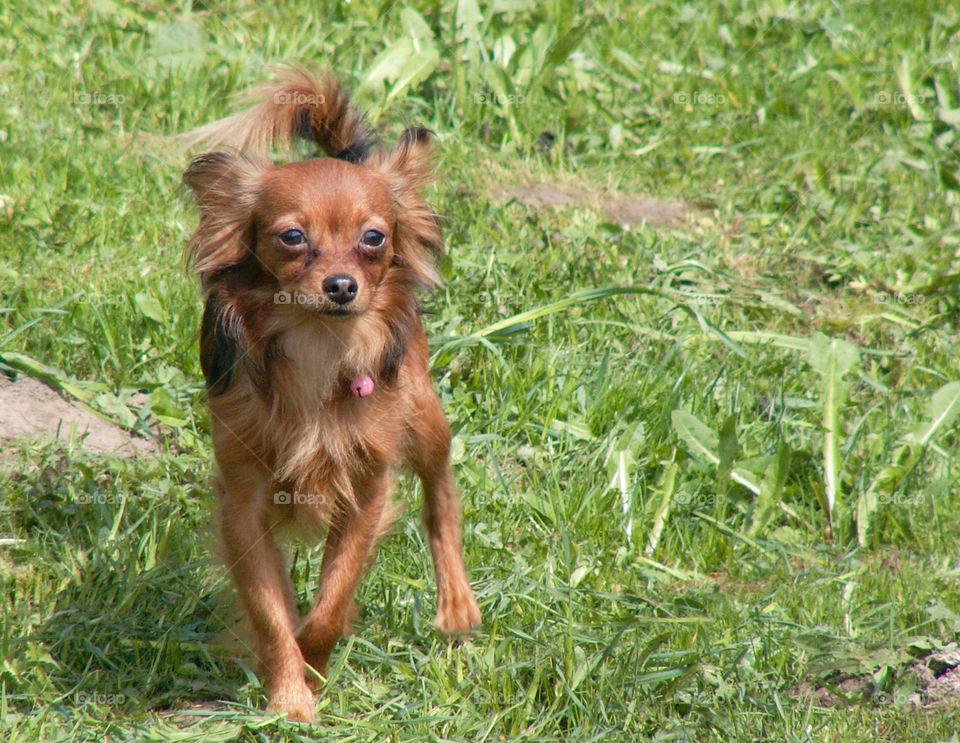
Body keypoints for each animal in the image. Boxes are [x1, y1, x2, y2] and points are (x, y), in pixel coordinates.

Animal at [180, 68, 480, 720]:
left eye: (374, 238)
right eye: (293, 237)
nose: (342, 285)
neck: (320, 346)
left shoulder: (365, 494)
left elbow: (331, 604)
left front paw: (313, 669)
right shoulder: (244, 505)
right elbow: (272, 612)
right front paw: (290, 696)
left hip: (422, 414)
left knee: (441, 494)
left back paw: (457, 606)